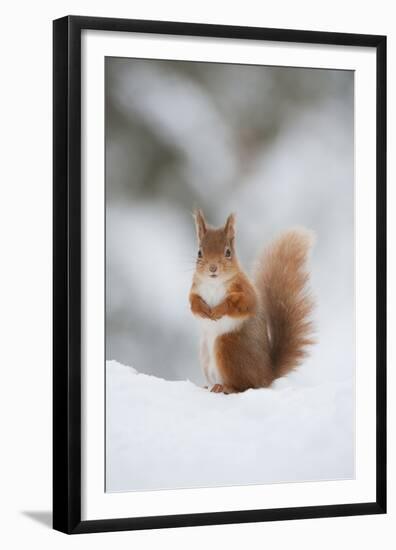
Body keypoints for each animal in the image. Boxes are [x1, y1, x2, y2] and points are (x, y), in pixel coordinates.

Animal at [189, 211, 316, 396]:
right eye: (199, 252)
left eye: (228, 252)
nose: (212, 268)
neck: (213, 283)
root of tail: (266, 376)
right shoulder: (195, 289)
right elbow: (193, 303)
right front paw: (203, 310)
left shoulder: (246, 292)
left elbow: (242, 304)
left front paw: (218, 310)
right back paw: (208, 386)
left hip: (227, 347)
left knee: (244, 386)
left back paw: (225, 387)